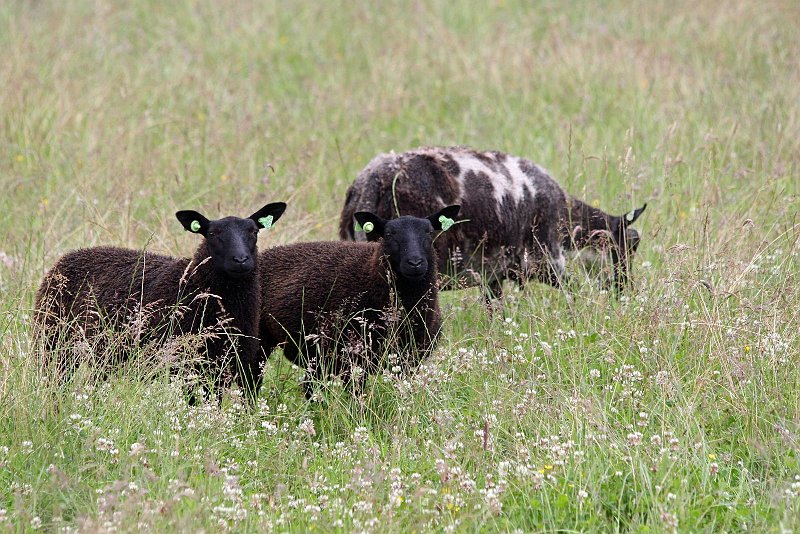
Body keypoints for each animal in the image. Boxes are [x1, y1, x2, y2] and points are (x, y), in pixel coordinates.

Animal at [32, 203, 288, 404]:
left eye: (254, 231)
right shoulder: (185, 365)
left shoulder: (230, 364)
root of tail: (69, 255)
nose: (241, 260)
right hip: (52, 342)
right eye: (213, 234)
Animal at [260, 207, 460, 400]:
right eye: (388, 234)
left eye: (429, 232)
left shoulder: (409, 359)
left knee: (309, 387)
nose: (415, 263)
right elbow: (357, 397)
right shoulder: (351, 360)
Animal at [340, 147, 648, 304]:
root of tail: (372, 182)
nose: (625, 293)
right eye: (631, 245)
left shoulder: (493, 273)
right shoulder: (548, 258)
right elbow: (574, 291)